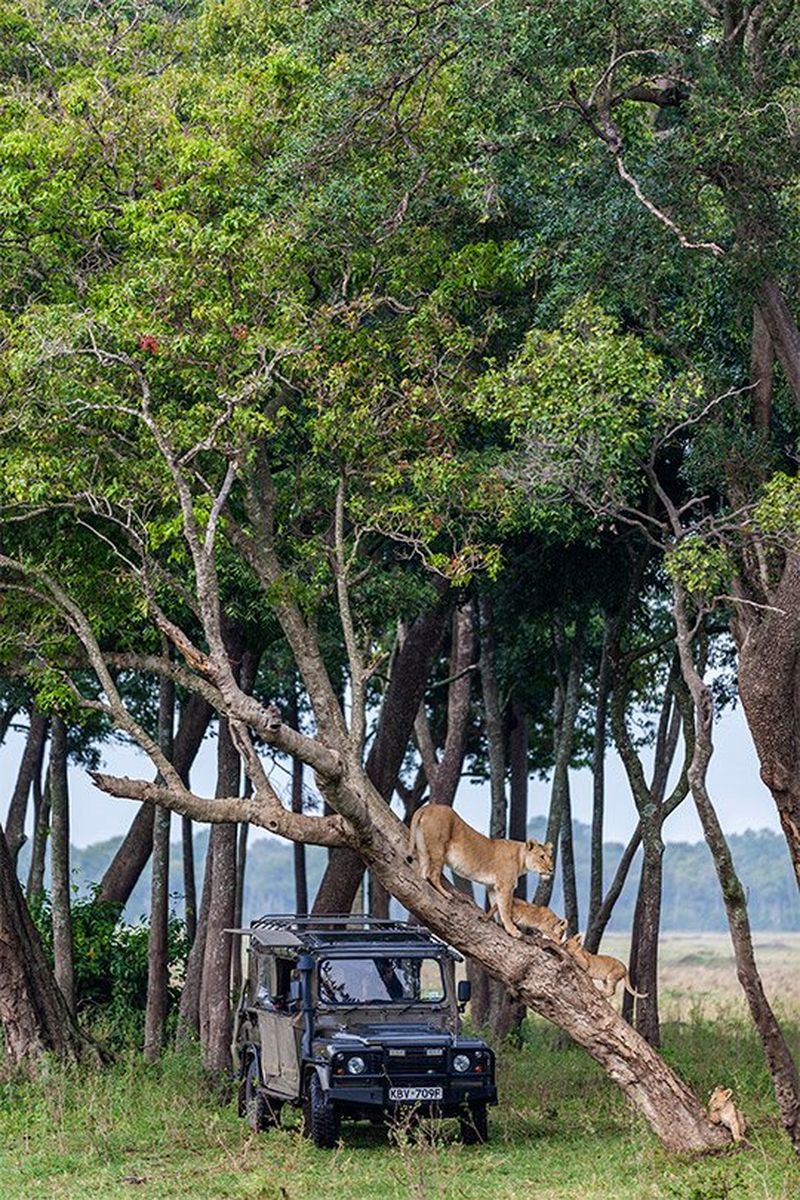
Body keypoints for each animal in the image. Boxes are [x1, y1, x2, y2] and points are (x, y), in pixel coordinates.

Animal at [407, 804, 553, 938]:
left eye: (550, 856)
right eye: (542, 857)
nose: (551, 869)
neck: (521, 859)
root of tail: (427, 806)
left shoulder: (493, 886)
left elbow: (496, 906)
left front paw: (499, 924)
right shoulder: (505, 886)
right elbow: (505, 908)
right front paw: (512, 930)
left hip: (422, 848)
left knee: (423, 872)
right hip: (438, 849)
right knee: (432, 874)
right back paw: (446, 894)